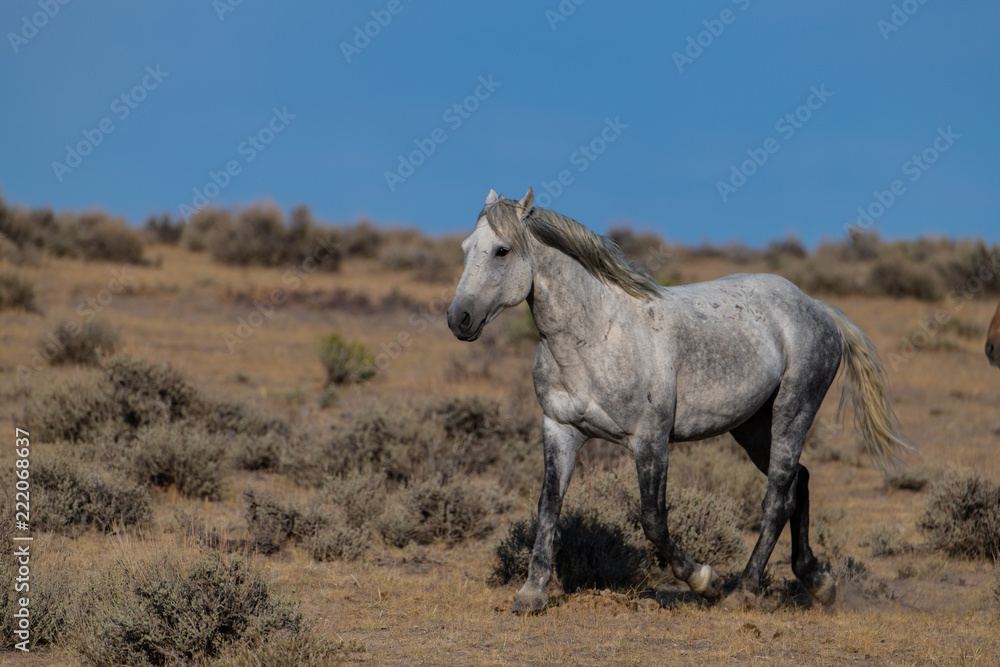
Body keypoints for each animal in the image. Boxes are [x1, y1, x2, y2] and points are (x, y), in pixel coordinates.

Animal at [448, 189, 916, 616]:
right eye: (466, 248)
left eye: (503, 250)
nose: (459, 319)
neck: (595, 336)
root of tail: (816, 306)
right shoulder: (560, 431)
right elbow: (548, 508)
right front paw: (531, 594)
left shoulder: (650, 440)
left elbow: (654, 520)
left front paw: (705, 581)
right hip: (751, 427)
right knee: (798, 481)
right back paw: (819, 582)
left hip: (792, 413)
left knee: (777, 496)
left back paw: (744, 591)